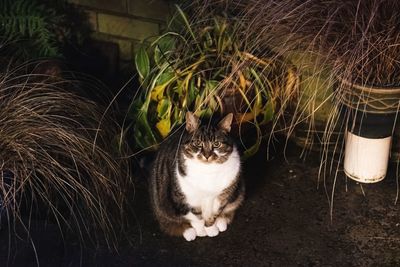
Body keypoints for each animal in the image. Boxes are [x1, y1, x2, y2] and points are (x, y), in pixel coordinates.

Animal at [149, 112, 244, 242]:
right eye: (198, 143)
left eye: (216, 144)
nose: (207, 156)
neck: (208, 170)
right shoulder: (186, 199)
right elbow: (196, 218)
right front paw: (202, 231)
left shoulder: (221, 197)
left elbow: (214, 214)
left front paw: (211, 228)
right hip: (161, 205)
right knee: (169, 222)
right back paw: (189, 232)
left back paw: (222, 221)